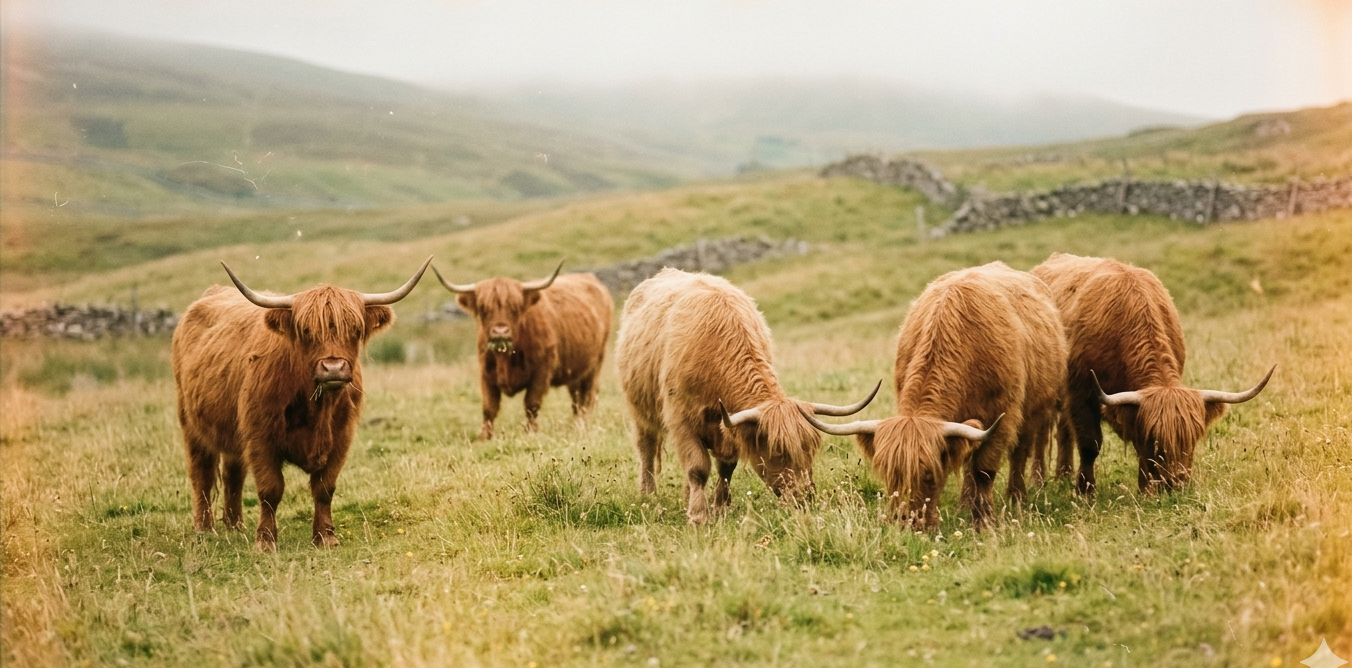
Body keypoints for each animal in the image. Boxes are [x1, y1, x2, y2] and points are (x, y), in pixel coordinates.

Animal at [172, 257, 430, 551]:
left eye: (354, 330)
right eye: (306, 331)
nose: (333, 368)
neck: (317, 409)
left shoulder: (341, 438)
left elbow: (325, 488)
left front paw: (325, 537)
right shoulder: (260, 437)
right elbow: (270, 489)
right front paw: (266, 541)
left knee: (232, 473)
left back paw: (235, 526)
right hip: (191, 423)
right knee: (201, 473)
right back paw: (205, 529)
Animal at [433, 262, 612, 440]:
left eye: (515, 308)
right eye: (483, 308)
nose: (500, 332)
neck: (505, 357)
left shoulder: (541, 372)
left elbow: (531, 404)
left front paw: (530, 432)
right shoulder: (486, 374)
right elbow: (489, 408)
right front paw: (484, 437)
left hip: (595, 364)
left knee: (588, 396)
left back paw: (581, 425)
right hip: (575, 370)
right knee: (577, 399)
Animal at [615, 268, 879, 524]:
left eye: (810, 449)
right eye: (778, 451)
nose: (804, 496)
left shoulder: (729, 429)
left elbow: (726, 468)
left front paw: (719, 507)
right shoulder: (681, 420)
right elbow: (697, 468)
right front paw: (699, 516)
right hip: (640, 411)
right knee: (646, 448)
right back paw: (648, 494)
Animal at [800, 262, 1066, 530]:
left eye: (928, 474)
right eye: (889, 474)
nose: (905, 521)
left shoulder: (1003, 419)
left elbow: (984, 471)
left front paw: (984, 522)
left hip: (1034, 411)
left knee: (1019, 454)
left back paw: (1016, 499)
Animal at [1030, 252, 1273, 495]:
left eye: (1193, 438)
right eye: (1156, 440)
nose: (1177, 483)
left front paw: (1145, 488)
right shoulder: (1080, 394)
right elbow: (1090, 444)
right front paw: (1085, 491)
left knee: (1063, 431)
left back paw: (1063, 474)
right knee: (1042, 435)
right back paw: (1039, 479)